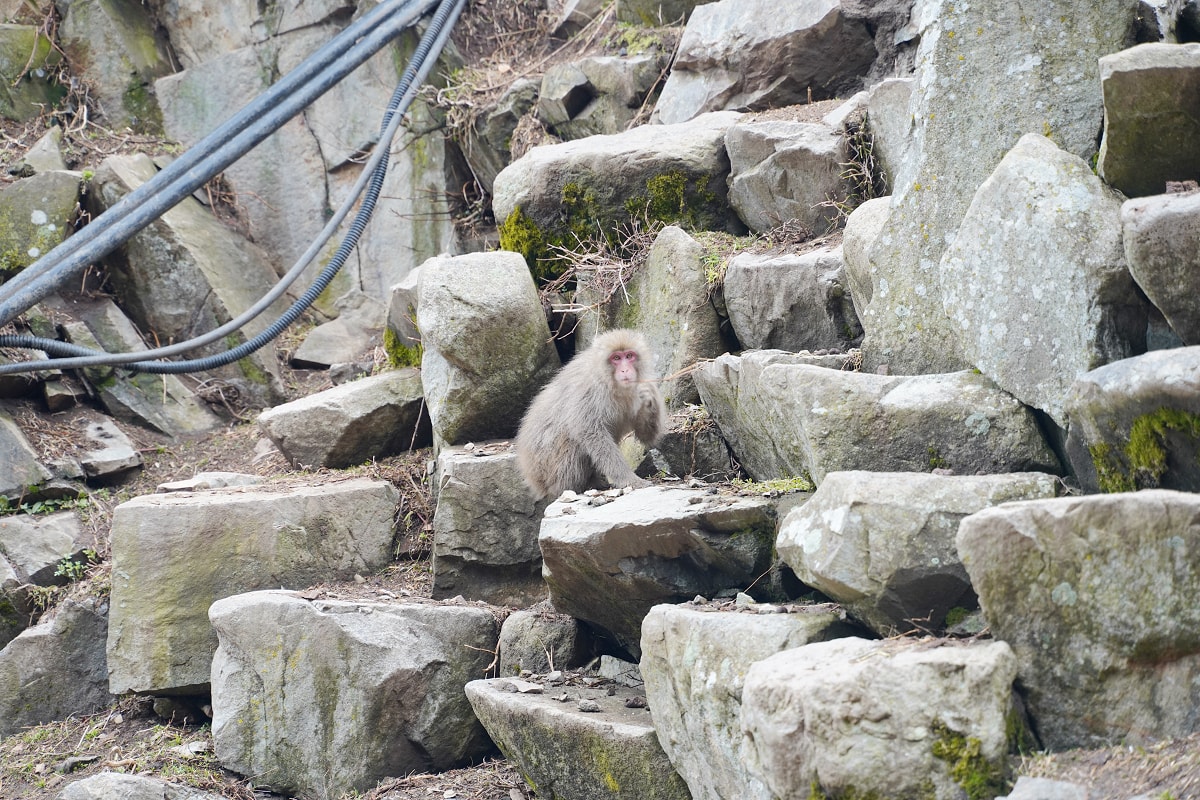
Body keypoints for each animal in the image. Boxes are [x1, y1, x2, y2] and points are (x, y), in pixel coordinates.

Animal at [515, 328, 667, 501]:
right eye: (616, 358)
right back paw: (573, 488)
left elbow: (646, 436)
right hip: (547, 467)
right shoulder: (590, 390)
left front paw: (650, 396)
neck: (612, 383)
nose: (625, 370)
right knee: (572, 442)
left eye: (629, 356)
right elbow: (589, 431)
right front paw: (629, 479)